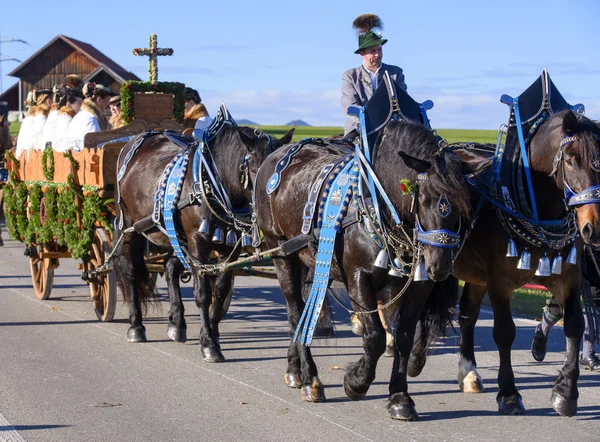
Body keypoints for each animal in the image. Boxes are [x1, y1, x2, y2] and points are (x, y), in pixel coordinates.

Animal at [112, 121, 292, 362]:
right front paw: (208, 343)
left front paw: (213, 335)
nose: (269, 208)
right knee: (131, 270)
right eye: (255, 170)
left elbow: (221, 290)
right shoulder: (198, 242)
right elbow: (203, 294)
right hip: (129, 225)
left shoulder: (229, 247)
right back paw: (136, 326)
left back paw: (177, 323)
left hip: (173, 233)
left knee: (171, 268)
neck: (212, 180)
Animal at [253, 118, 482, 414]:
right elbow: (374, 337)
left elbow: (403, 336)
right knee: (295, 311)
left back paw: (295, 370)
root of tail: (275, 156)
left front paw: (400, 398)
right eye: (424, 198)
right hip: (281, 252)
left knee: (303, 314)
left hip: (309, 260)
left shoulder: (420, 285)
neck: (375, 202)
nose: (440, 266)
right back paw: (310, 378)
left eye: (464, 203)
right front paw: (356, 382)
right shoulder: (358, 279)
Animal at [410, 109, 600, 416]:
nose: (593, 227)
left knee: (467, 315)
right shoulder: (499, 279)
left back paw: (469, 373)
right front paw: (509, 394)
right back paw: (413, 357)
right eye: (571, 160)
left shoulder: (569, 274)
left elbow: (574, 324)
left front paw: (565, 393)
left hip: (474, 274)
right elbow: (504, 332)